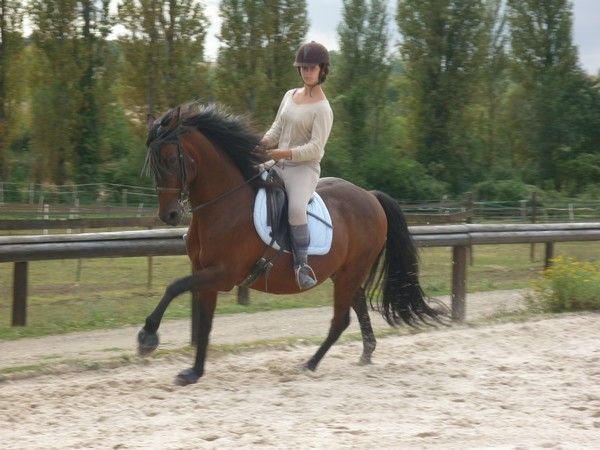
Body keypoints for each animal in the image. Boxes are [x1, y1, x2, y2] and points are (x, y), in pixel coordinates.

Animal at [138, 101, 440, 386]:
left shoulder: (222, 274)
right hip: (346, 273)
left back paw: (310, 364)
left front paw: (147, 336)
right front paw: (194, 372)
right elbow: (204, 324)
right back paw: (366, 353)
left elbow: (174, 287)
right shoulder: (206, 274)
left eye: (170, 160)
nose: (169, 215)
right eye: (152, 165)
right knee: (357, 306)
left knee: (340, 320)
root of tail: (371, 196)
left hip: (351, 272)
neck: (224, 204)